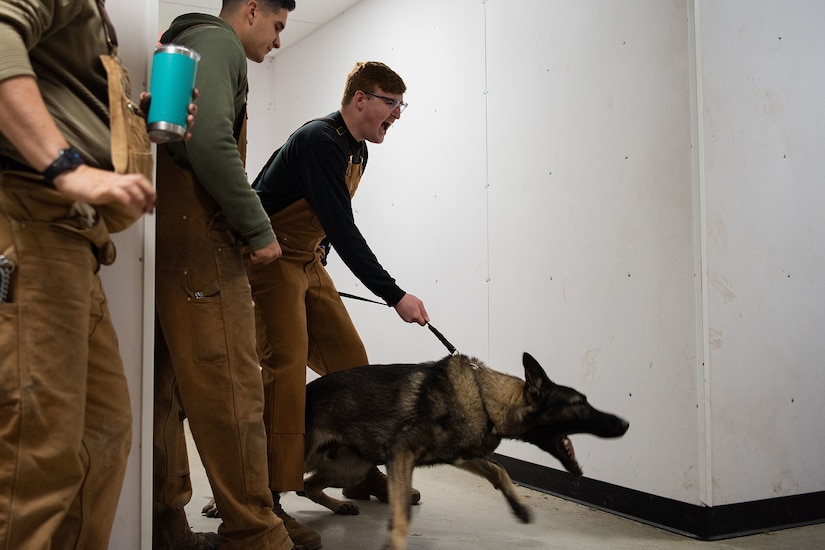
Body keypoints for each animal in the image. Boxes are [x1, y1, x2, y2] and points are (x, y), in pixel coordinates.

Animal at [302, 354, 632, 550]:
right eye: (579, 404)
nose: (625, 423)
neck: (486, 398)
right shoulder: (401, 452)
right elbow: (402, 512)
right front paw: (395, 542)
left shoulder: (461, 455)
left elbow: (499, 469)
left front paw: (519, 505)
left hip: (351, 469)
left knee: (308, 486)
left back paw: (337, 505)